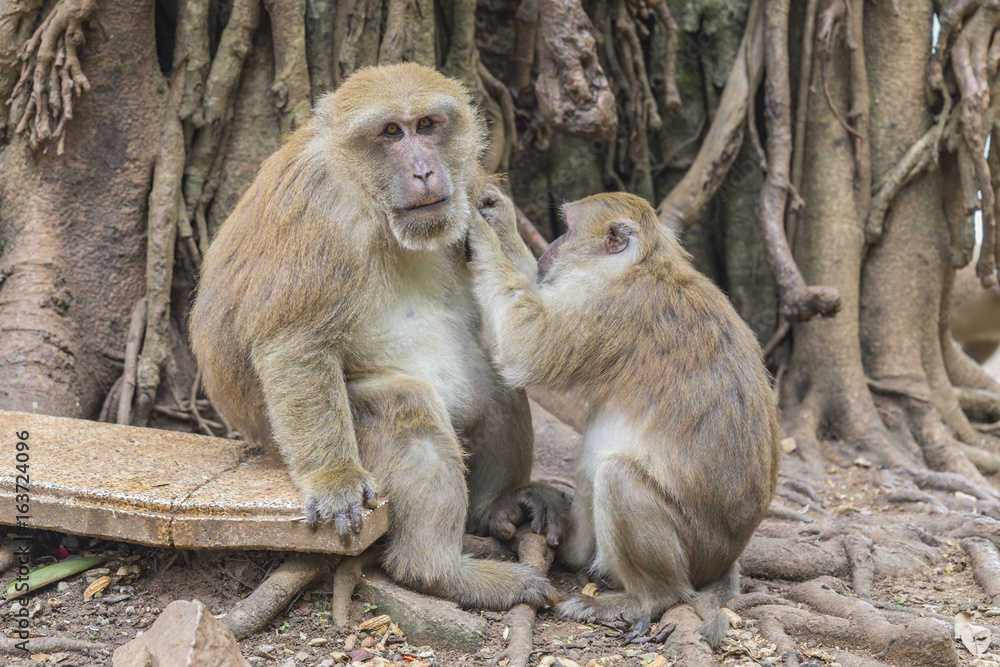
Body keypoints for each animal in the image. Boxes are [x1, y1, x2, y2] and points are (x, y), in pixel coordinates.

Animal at [188, 64, 564, 612]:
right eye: (391, 133)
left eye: (426, 125)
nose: (425, 171)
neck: (369, 196)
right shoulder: (323, 212)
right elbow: (293, 344)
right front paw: (334, 479)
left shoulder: (468, 185)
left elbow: (528, 332)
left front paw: (502, 222)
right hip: (288, 438)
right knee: (407, 406)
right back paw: (439, 571)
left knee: (496, 385)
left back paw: (498, 507)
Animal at [468, 187, 780, 648]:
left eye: (568, 227)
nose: (550, 247)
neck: (643, 265)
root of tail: (728, 557)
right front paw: (500, 217)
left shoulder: (607, 307)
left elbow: (525, 343)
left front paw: (478, 230)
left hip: (695, 552)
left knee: (619, 479)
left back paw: (644, 599)